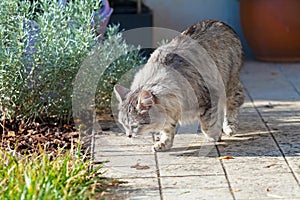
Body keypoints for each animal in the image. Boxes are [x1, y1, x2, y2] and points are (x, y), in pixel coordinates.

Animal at [114, 19, 244, 152]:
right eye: (124, 124)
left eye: (134, 125)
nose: (128, 135)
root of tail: (220, 22)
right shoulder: (170, 109)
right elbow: (167, 129)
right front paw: (164, 143)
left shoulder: (208, 98)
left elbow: (208, 123)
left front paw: (213, 136)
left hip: (229, 82)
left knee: (235, 100)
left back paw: (229, 126)